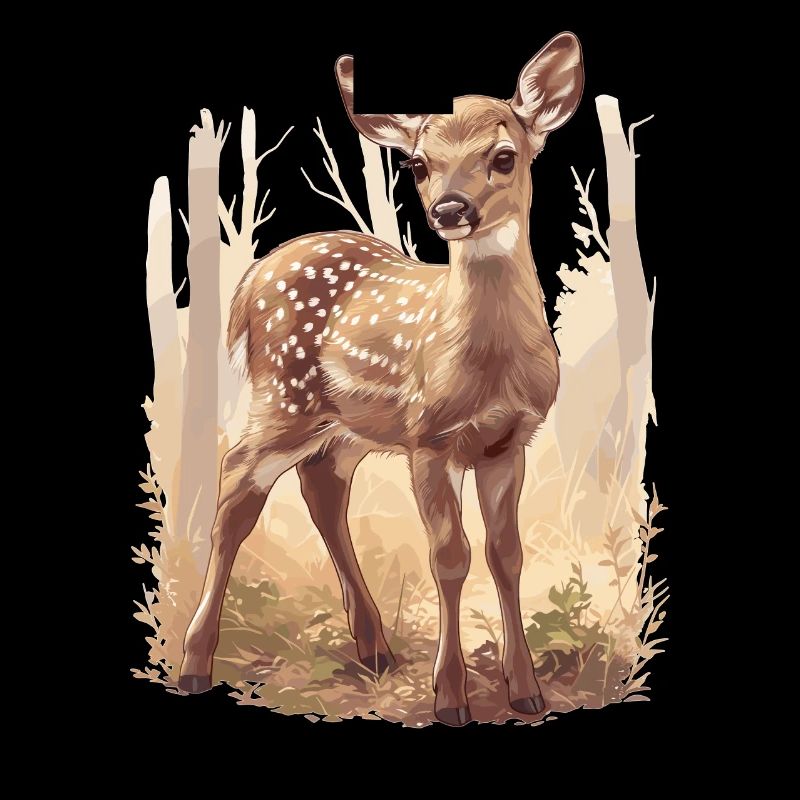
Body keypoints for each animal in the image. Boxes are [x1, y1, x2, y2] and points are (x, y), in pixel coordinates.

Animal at [179, 32, 584, 726]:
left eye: (504, 157)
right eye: (418, 165)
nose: (450, 208)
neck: (489, 369)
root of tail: (251, 283)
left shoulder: (508, 441)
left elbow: (506, 555)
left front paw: (526, 691)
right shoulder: (430, 437)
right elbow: (450, 558)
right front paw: (450, 698)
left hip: (346, 427)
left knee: (320, 488)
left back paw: (375, 649)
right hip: (284, 397)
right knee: (236, 484)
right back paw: (193, 664)